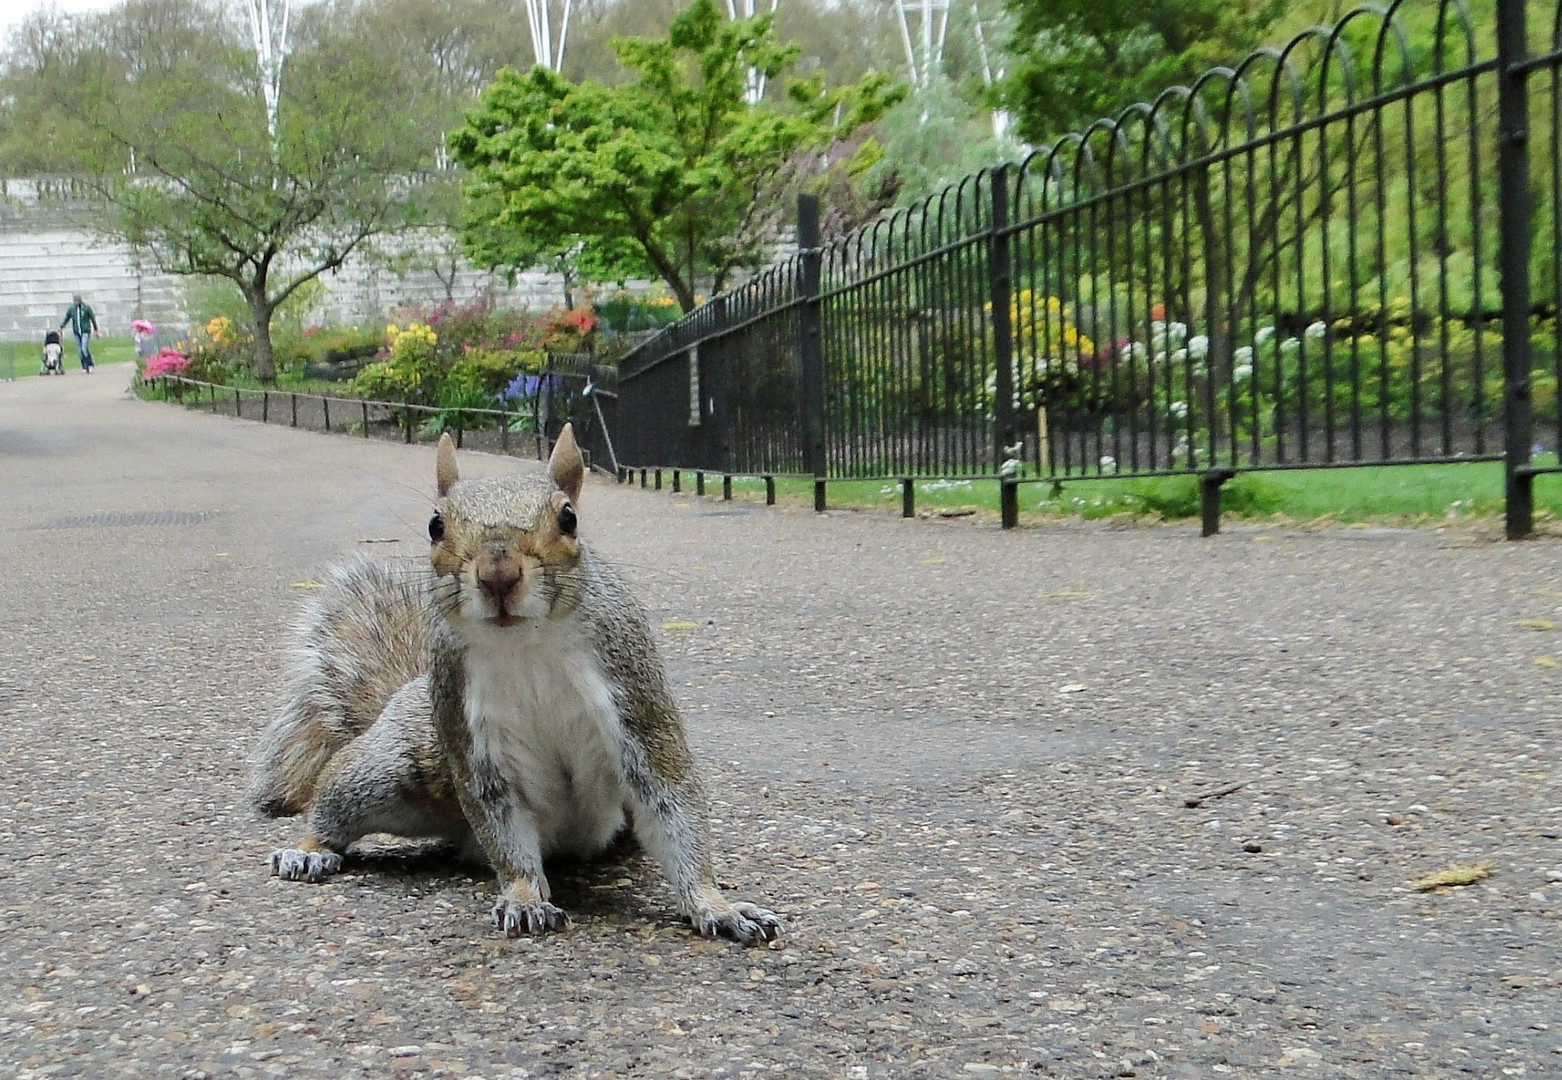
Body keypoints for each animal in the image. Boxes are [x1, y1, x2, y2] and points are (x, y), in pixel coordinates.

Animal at [249, 428, 781, 944]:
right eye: (435, 525)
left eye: (568, 518)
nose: (498, 574)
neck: (524, 642)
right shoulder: (472, 738)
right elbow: (504, 830)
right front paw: (525, 898)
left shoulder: (635, 701)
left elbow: (671, 800)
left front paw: (717, 905)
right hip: (387, 772)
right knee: (333, 800)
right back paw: (308, 850)